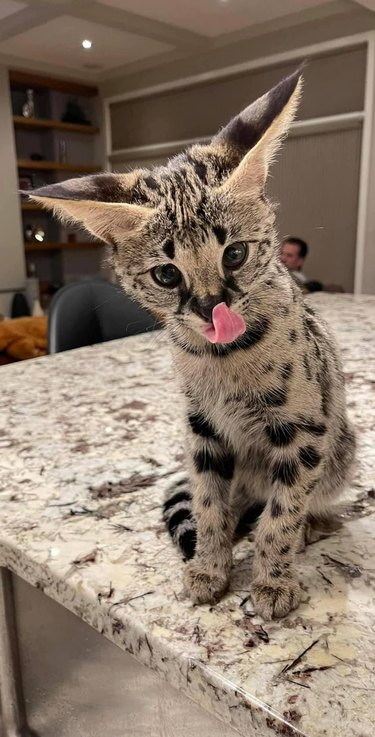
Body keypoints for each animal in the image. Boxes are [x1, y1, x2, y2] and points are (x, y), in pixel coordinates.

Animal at [26, 70, 356, 620]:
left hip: (342, 445)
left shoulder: (303, 430)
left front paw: (273, 579)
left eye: (235, 253)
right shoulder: (201, 428)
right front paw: (209, 565)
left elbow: (283, 512)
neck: (224, 358)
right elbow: (208, 503)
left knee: (306, 496)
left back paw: (312, 524)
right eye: (166, 274)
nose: (210, 308)